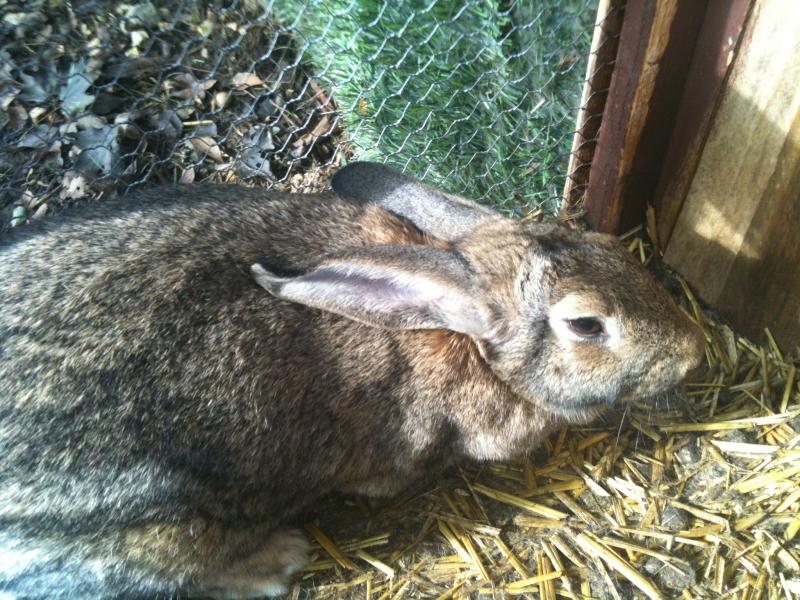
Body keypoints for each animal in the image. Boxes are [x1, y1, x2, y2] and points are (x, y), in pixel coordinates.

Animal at [0, 162, 704, 598]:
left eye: (613, 247)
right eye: (586, 324)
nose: (691, 353)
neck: (465, 335)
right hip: (162, 531)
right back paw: (276, 560)